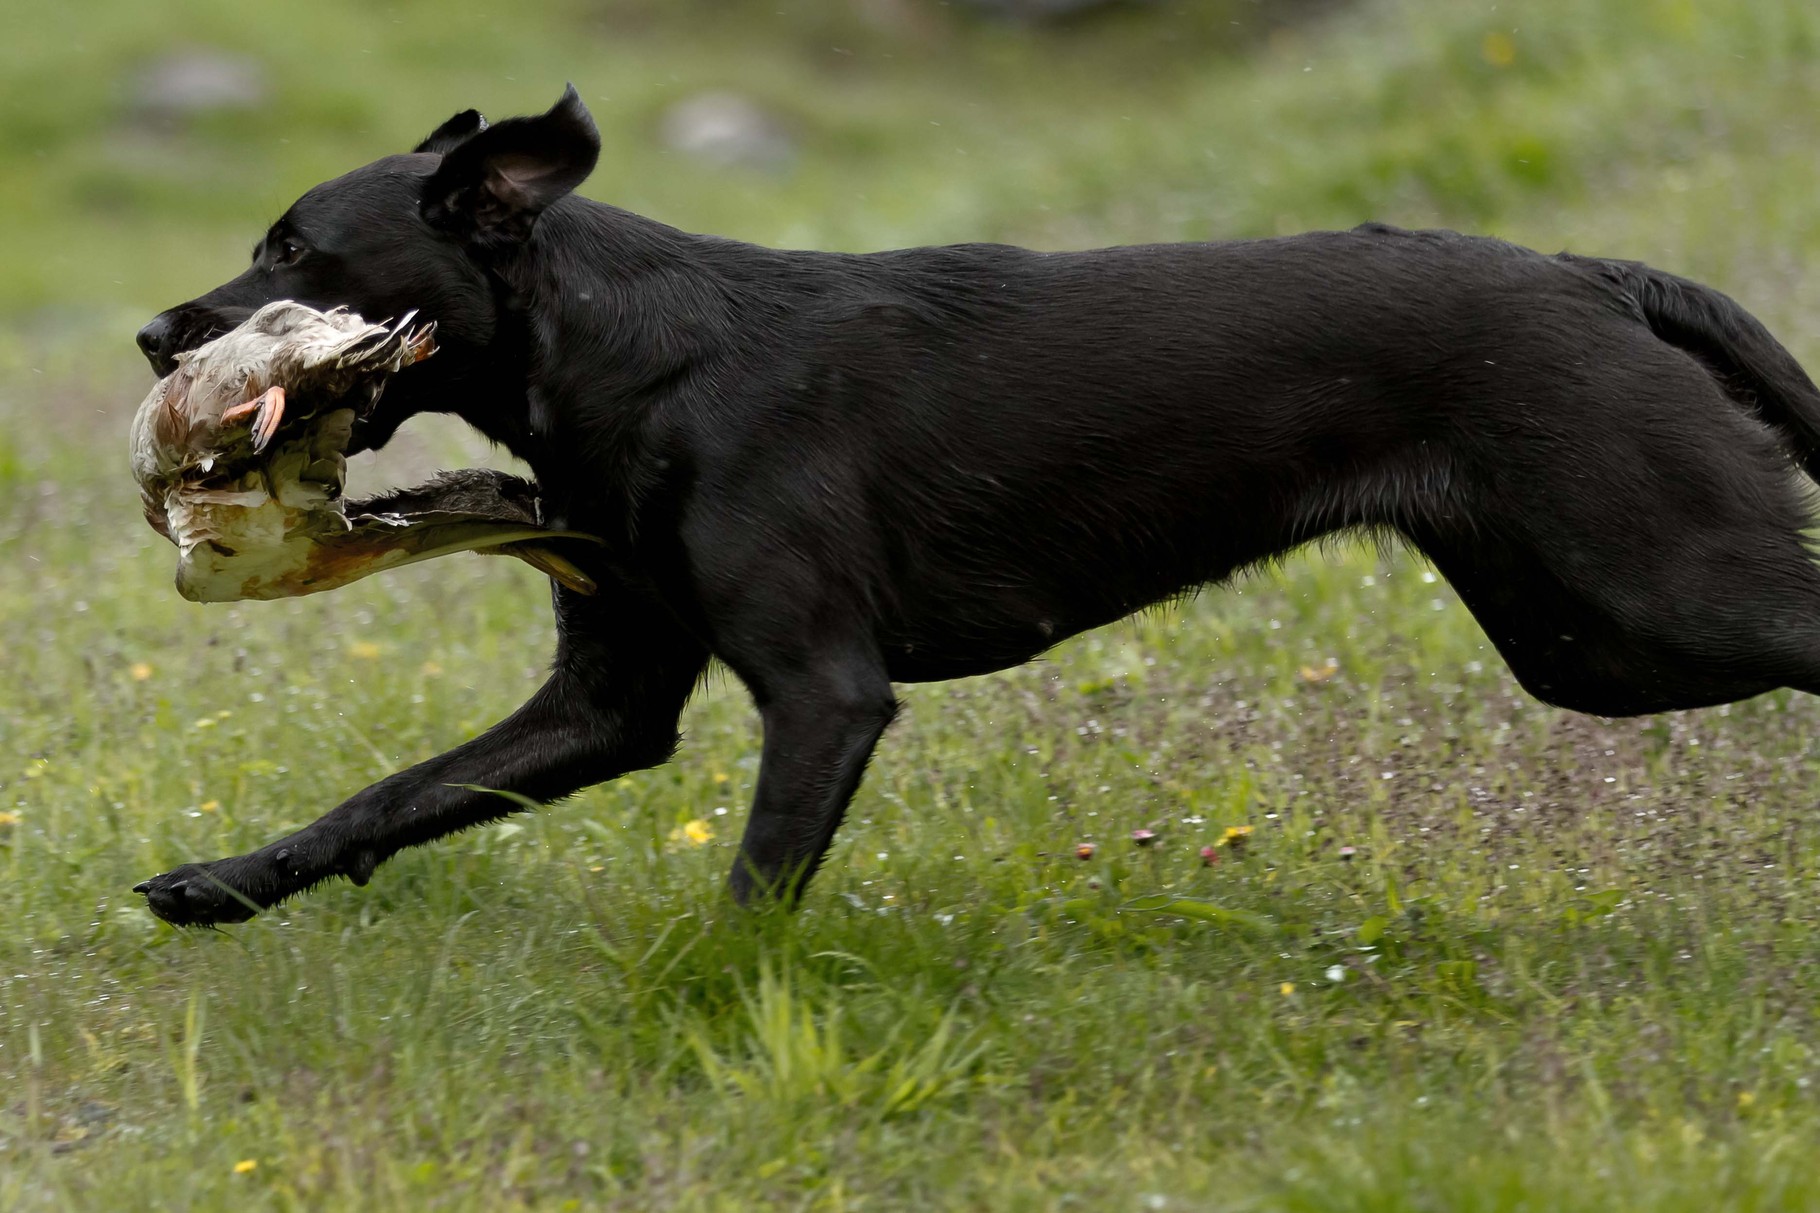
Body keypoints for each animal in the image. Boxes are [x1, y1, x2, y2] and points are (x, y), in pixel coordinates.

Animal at [134, 89, 1820, 921]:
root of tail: (1596, 275)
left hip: (1662, 580)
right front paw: (222, 885)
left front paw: (700, 1005)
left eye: (298, 253)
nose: (155, 337)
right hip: (1583, 643)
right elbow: (391, 796)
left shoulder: (826, 694)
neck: (629, 356)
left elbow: (750, 896)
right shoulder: (609, 705)